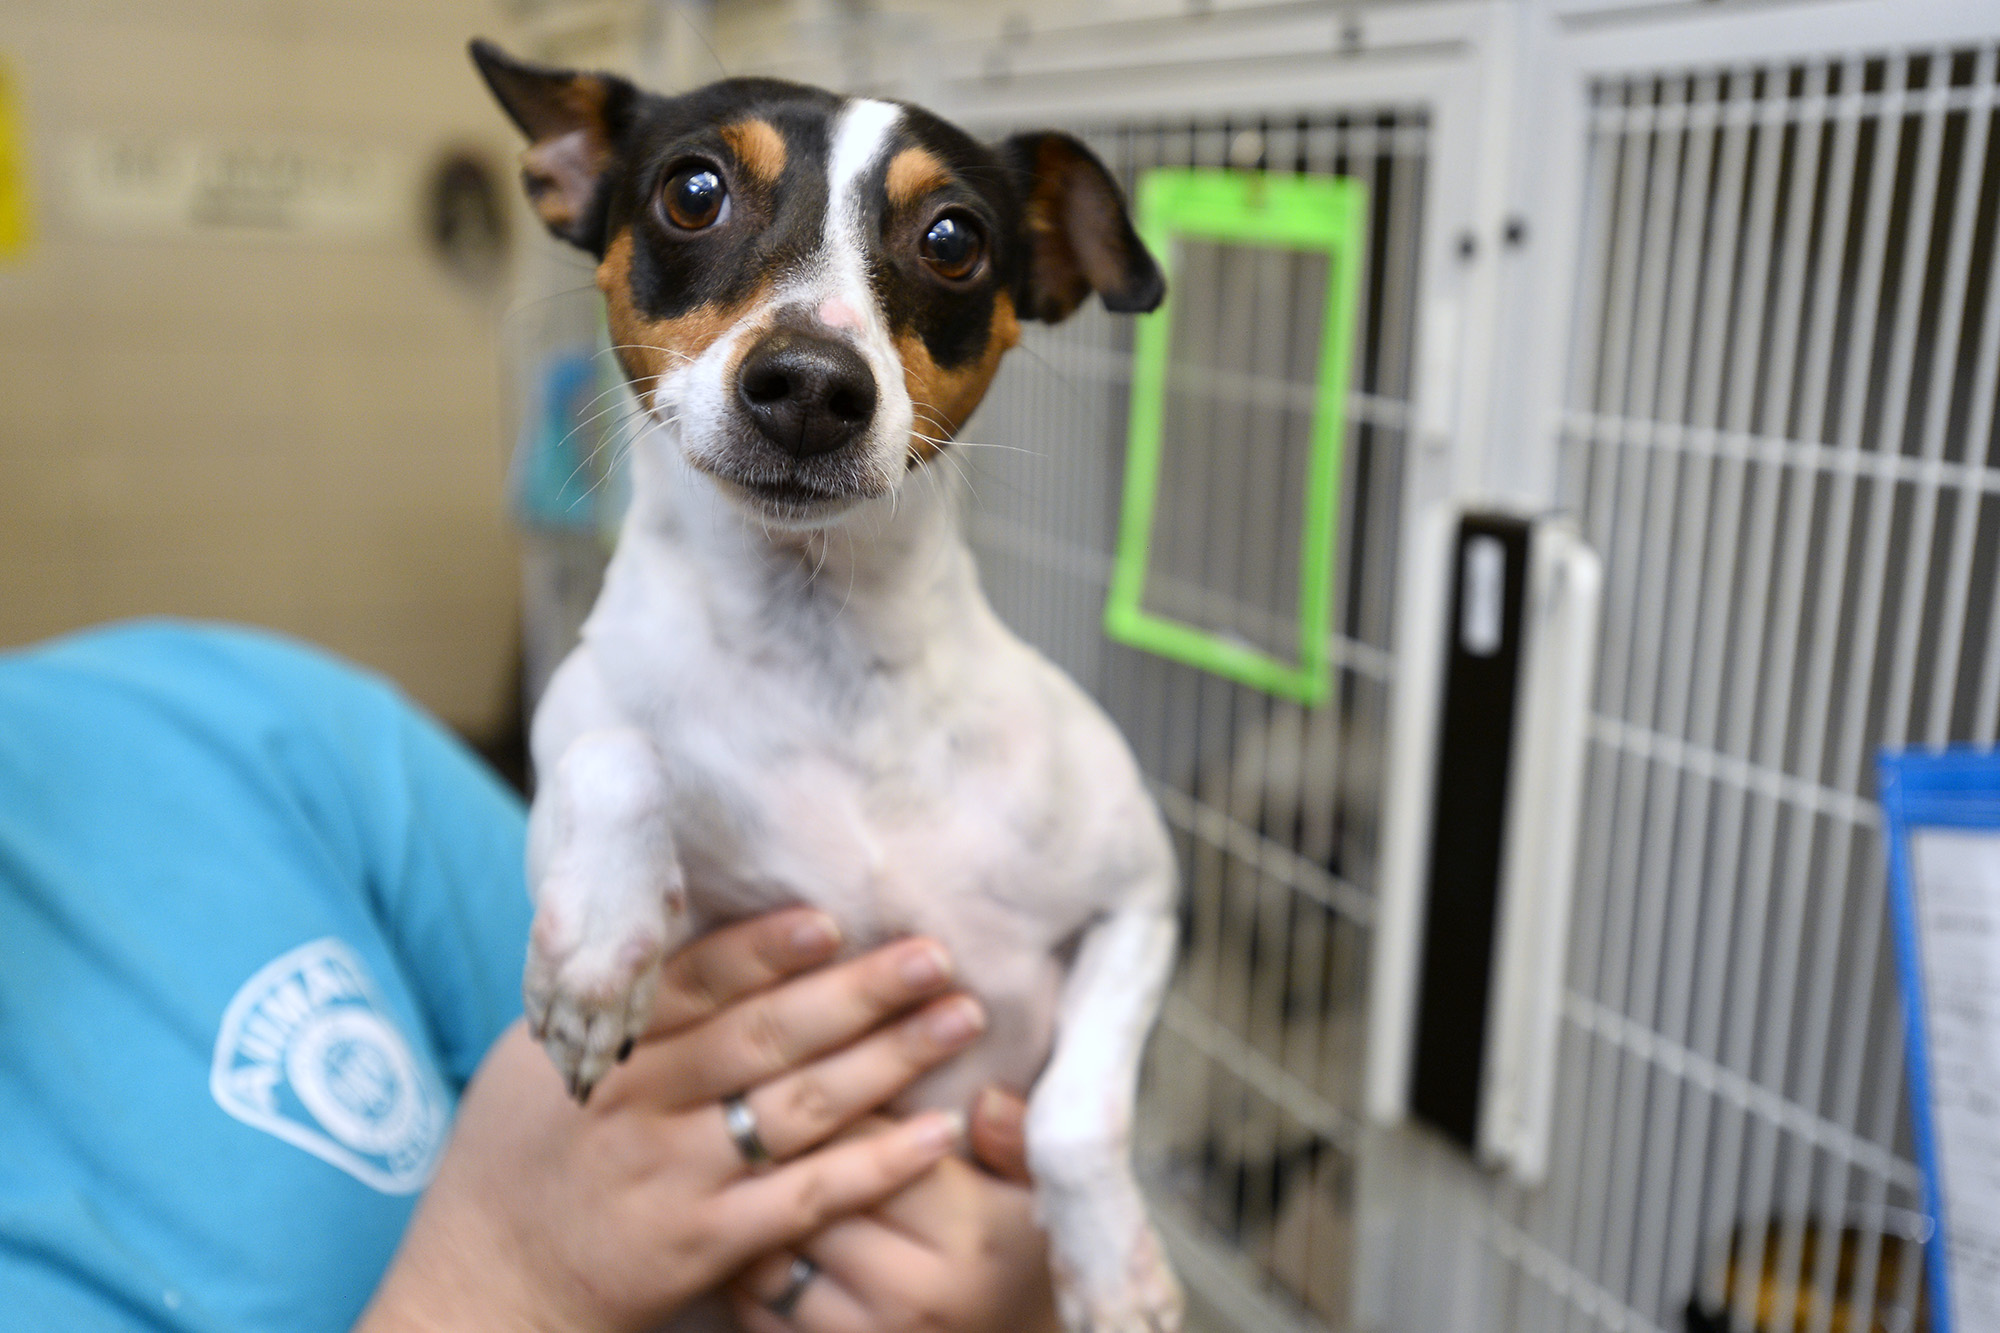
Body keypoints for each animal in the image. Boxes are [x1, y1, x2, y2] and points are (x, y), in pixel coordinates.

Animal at [470, 41, 1176, 1328]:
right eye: (691, 191)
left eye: (952, 237)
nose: (807, 383)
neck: (823, 651)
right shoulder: (584, 732)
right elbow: (609, 744)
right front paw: (596, 950)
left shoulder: (1139, 903)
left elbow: (1071, 1116)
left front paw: (1110, 1269)